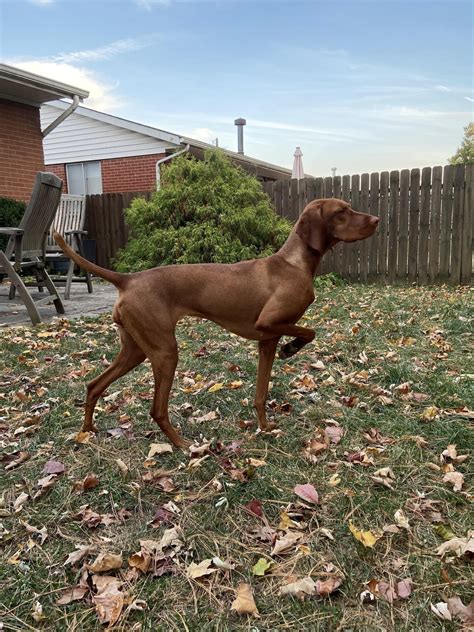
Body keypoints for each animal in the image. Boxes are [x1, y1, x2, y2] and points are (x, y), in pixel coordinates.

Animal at [54, 199, 378, 450]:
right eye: (342, 211)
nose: (377, 219)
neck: (293, 264)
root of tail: (128, 279)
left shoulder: (266, 341)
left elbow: (261, 394)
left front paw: (264, 427)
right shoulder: (269, 323)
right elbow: (310, 331)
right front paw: (292, 348)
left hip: (136, 350)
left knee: (94, 385)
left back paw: (88, 431)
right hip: (164, 352)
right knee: (157, 409)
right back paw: (182, 444)